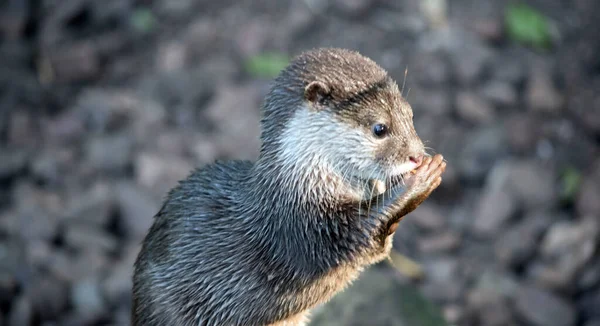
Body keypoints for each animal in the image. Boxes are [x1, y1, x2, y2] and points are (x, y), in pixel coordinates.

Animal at [131, 47, 446, 326]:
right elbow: (349, 233)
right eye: (380, 128)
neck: (302, 184)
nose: (417, 155)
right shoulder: (300, 226)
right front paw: (416, 182)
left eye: (411, 115)